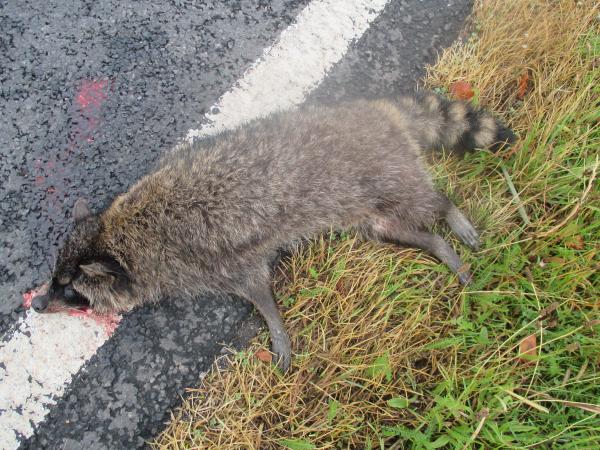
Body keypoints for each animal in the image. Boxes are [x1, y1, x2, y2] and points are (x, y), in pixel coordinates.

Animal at [31, 92, 515, 370]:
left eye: (70, 290)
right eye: (55, 281)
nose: (36, 304)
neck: (123, 239)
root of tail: (381, 111)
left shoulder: (214, 257)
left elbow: (258, 289)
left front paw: (277, 331)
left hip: (385, 170)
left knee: (425, 200)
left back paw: (449, 212)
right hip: (367, 207)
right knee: (390, 226)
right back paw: (438, 245)